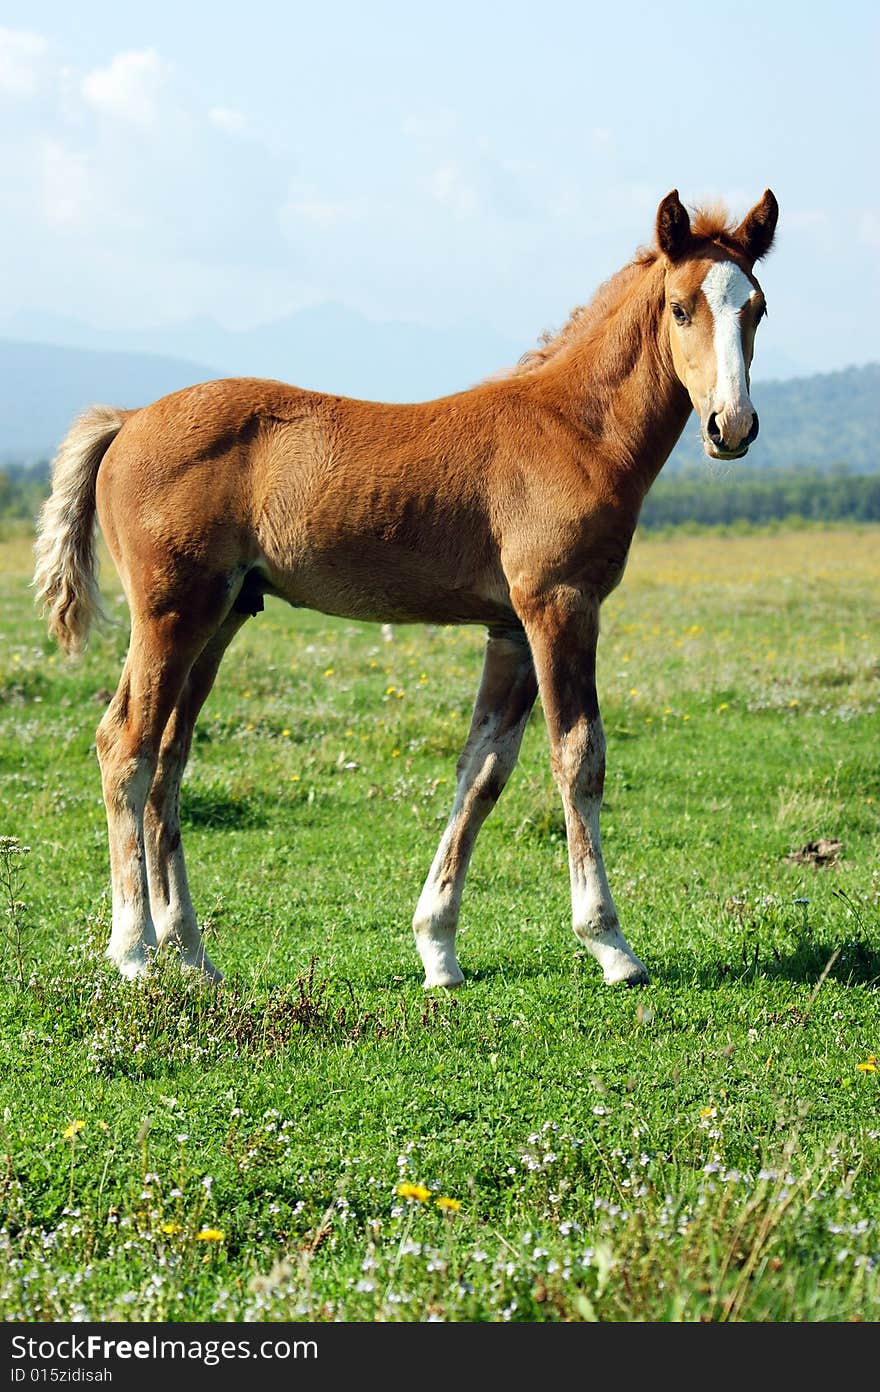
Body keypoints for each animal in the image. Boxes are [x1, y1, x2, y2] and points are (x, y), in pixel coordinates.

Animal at [34, 187, 774, 991]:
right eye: (679, 308)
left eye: (757, 308)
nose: (732, 425)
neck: (576, 431)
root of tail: (128, 421)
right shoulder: (559, 605)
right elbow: (579, 757)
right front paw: (610, 943)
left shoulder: (510, 628)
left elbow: (482, 770)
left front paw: (438, 949)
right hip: (169, 611)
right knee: (125, 746)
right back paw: (133, 951)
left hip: (221, 615)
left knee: (170, 758)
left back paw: (193, 954)